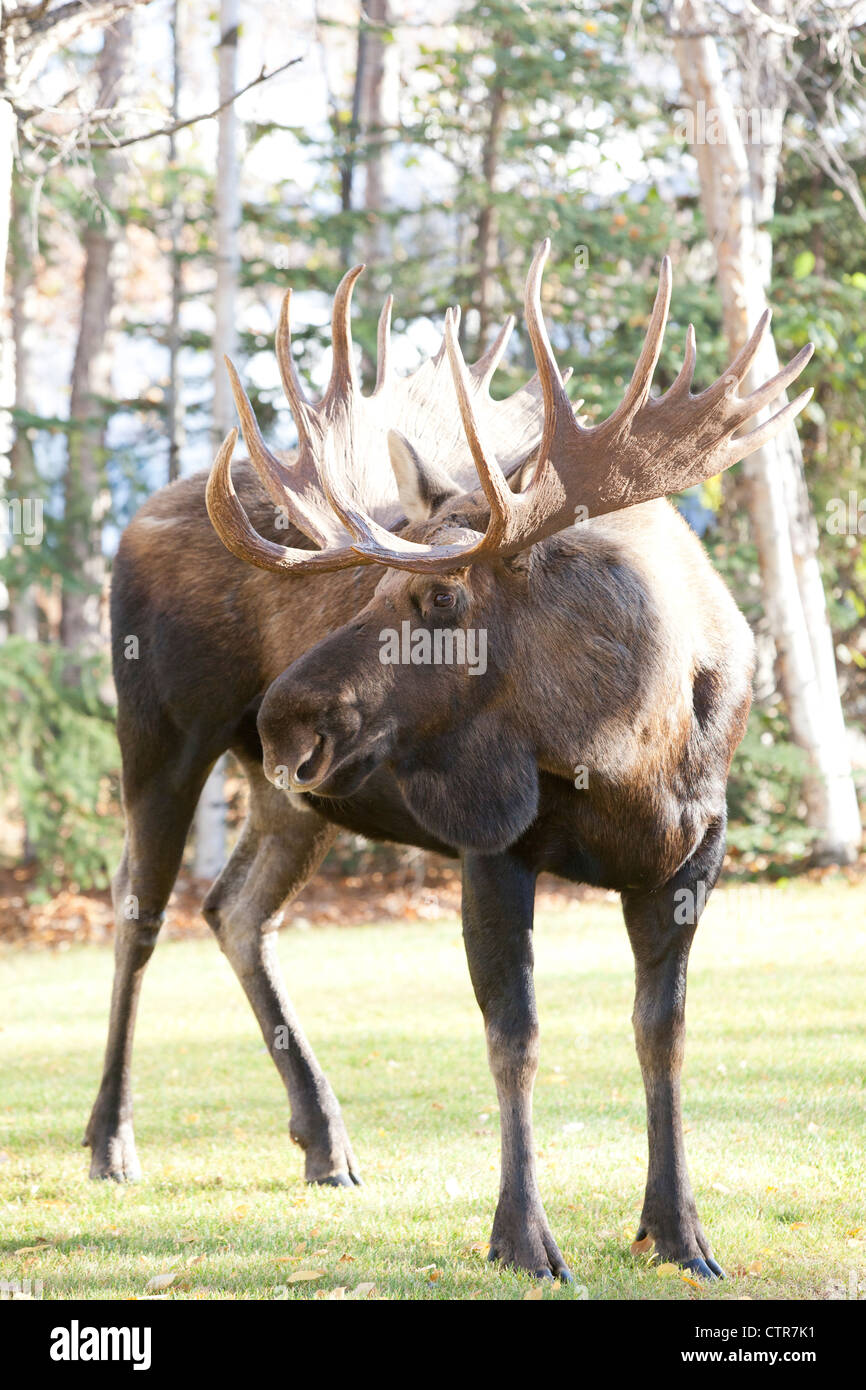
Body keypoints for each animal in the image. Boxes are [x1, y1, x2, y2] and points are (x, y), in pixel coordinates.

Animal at [86, 239, 811, 1278]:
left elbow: (662, 1035)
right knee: (139, 911)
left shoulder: (695, 854)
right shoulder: (493, 846)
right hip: (164, 735)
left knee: (235, 909)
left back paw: (325, 1139)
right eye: (368, 589)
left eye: (437, 599)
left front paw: (678, 1231)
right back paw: (111, 1139)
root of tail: (132, 520)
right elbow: (516, 1035)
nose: (279, 718)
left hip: (296, 797)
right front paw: (524, 1238)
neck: (625, 747)